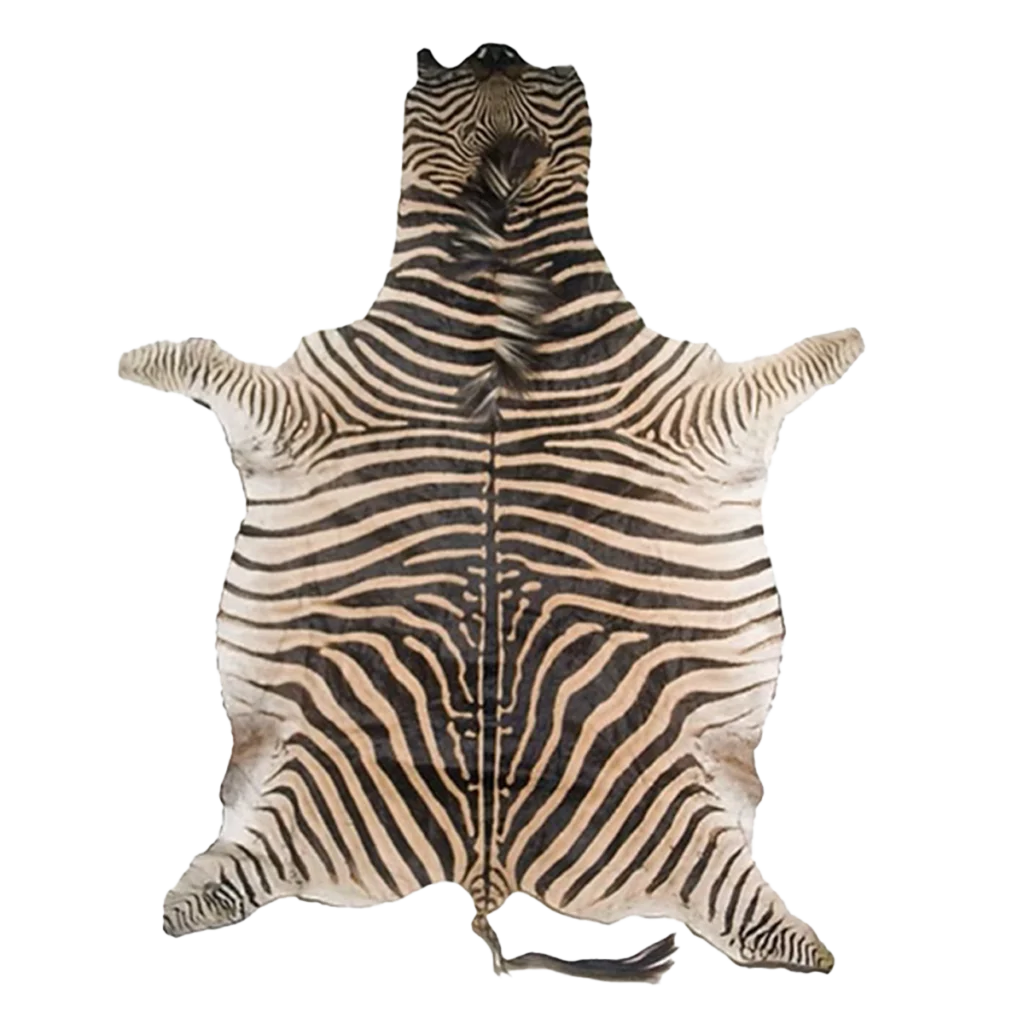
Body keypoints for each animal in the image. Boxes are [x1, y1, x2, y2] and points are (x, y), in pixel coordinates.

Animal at [123, 42, 858, 978]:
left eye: (550, 68)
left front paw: (850, 341)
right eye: (447, 70)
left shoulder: (693, 409)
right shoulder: (305, 409)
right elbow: (204, 362)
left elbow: (791, 367)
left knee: (753, 919)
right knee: (225, 881)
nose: (495, 49)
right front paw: (135, 360)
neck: (499, 262)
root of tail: (484, 864)